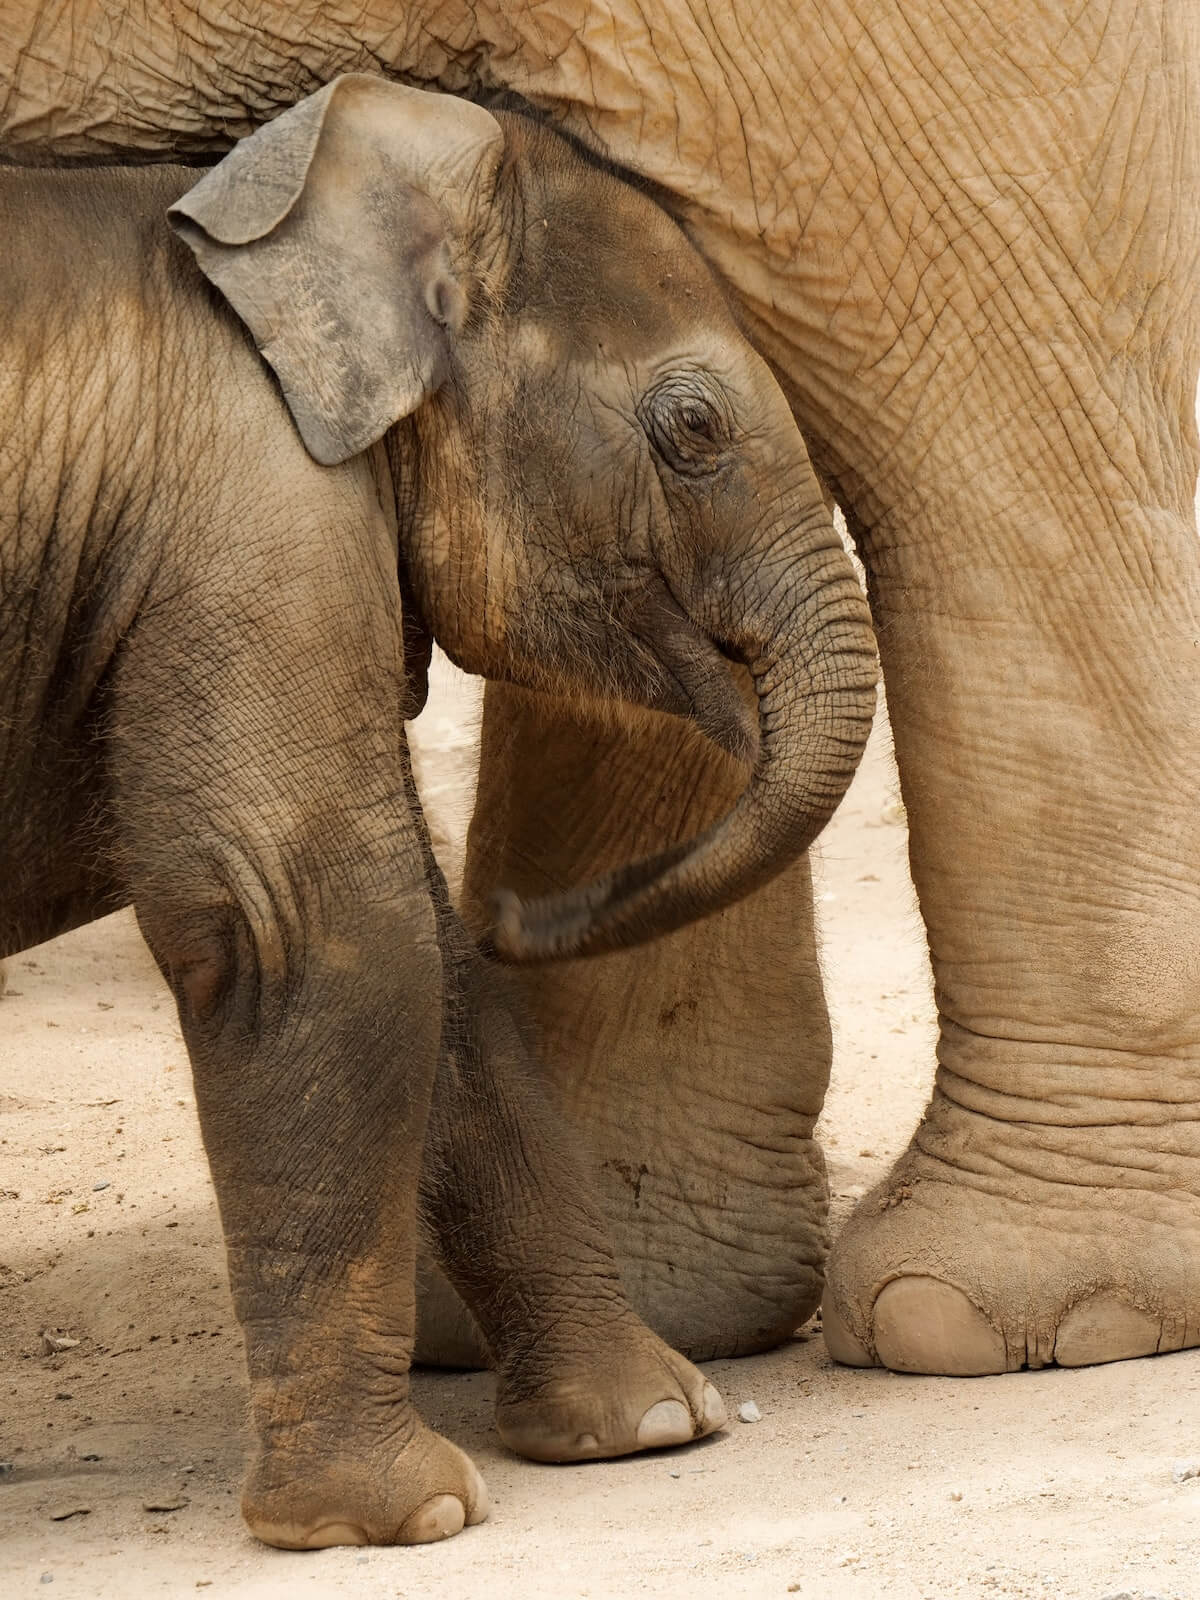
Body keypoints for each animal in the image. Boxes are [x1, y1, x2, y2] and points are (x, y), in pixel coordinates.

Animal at [4, 78, 876, 1548]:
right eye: (695, 429)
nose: (533, 902)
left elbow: (436, 961)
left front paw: (650, 1426)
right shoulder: (247, 511)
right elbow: (315, 924)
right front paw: (400, 1517)